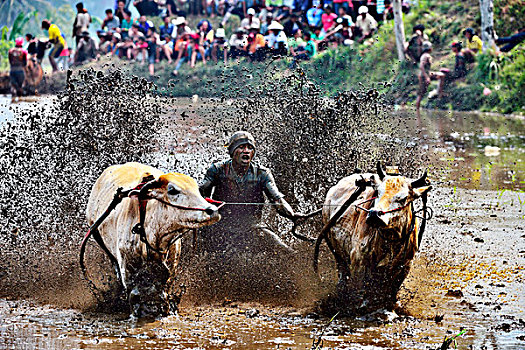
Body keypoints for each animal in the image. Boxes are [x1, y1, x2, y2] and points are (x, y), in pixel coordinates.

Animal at [84, 163, 219, 318]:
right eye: (172, 190)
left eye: (197, 189)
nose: (212, 210)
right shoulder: (128, 272)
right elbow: (134, 298)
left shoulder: (170, 268)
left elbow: (163, 296)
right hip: (98, 237)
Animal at [316, 163, 430, 314]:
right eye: (378, 193)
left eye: (403, 198)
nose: (375, 214)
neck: (391, 240)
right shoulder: (359, 261)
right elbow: (361, 291)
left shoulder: (404, 266)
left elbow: (391, 293)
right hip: (337, 252)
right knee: (343, 274)